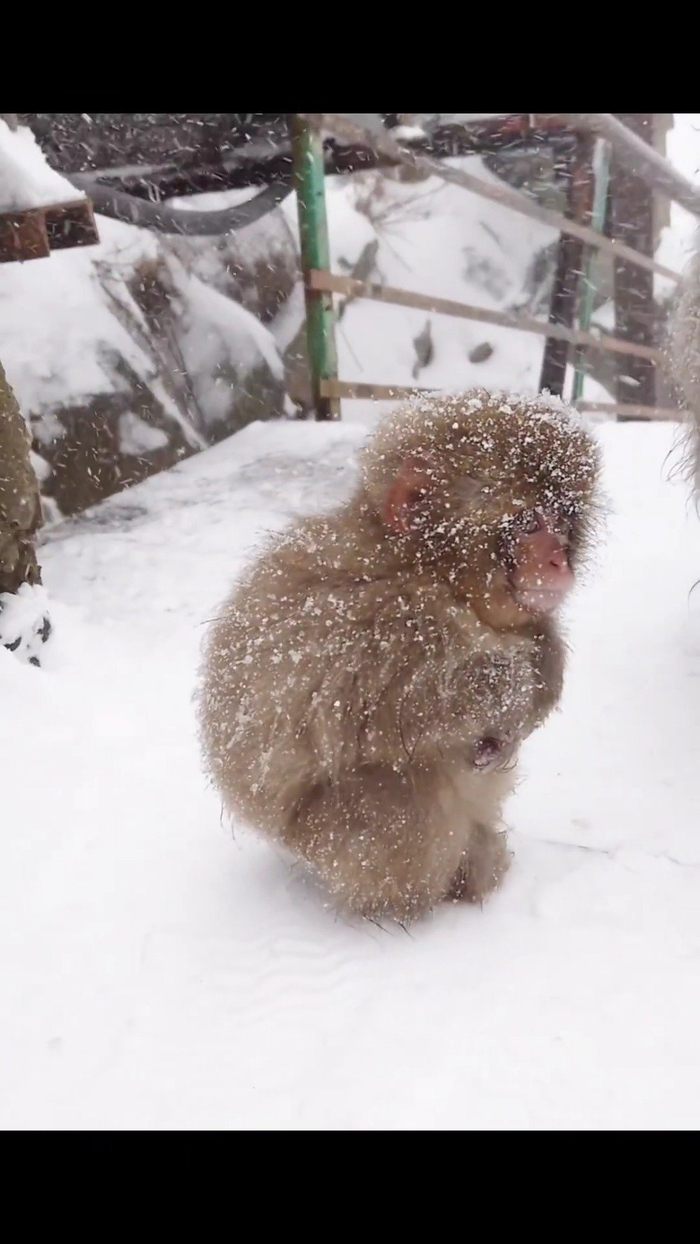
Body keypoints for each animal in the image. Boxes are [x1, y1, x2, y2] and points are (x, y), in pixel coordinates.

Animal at [198, 390, 601, 923]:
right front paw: (519, 680)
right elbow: (384, 710)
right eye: (530, 524)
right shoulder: (371, 619)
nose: (558, 560)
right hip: (324, 835)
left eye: (562, 521)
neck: (422, 570)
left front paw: (544, 662)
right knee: (410, 788)